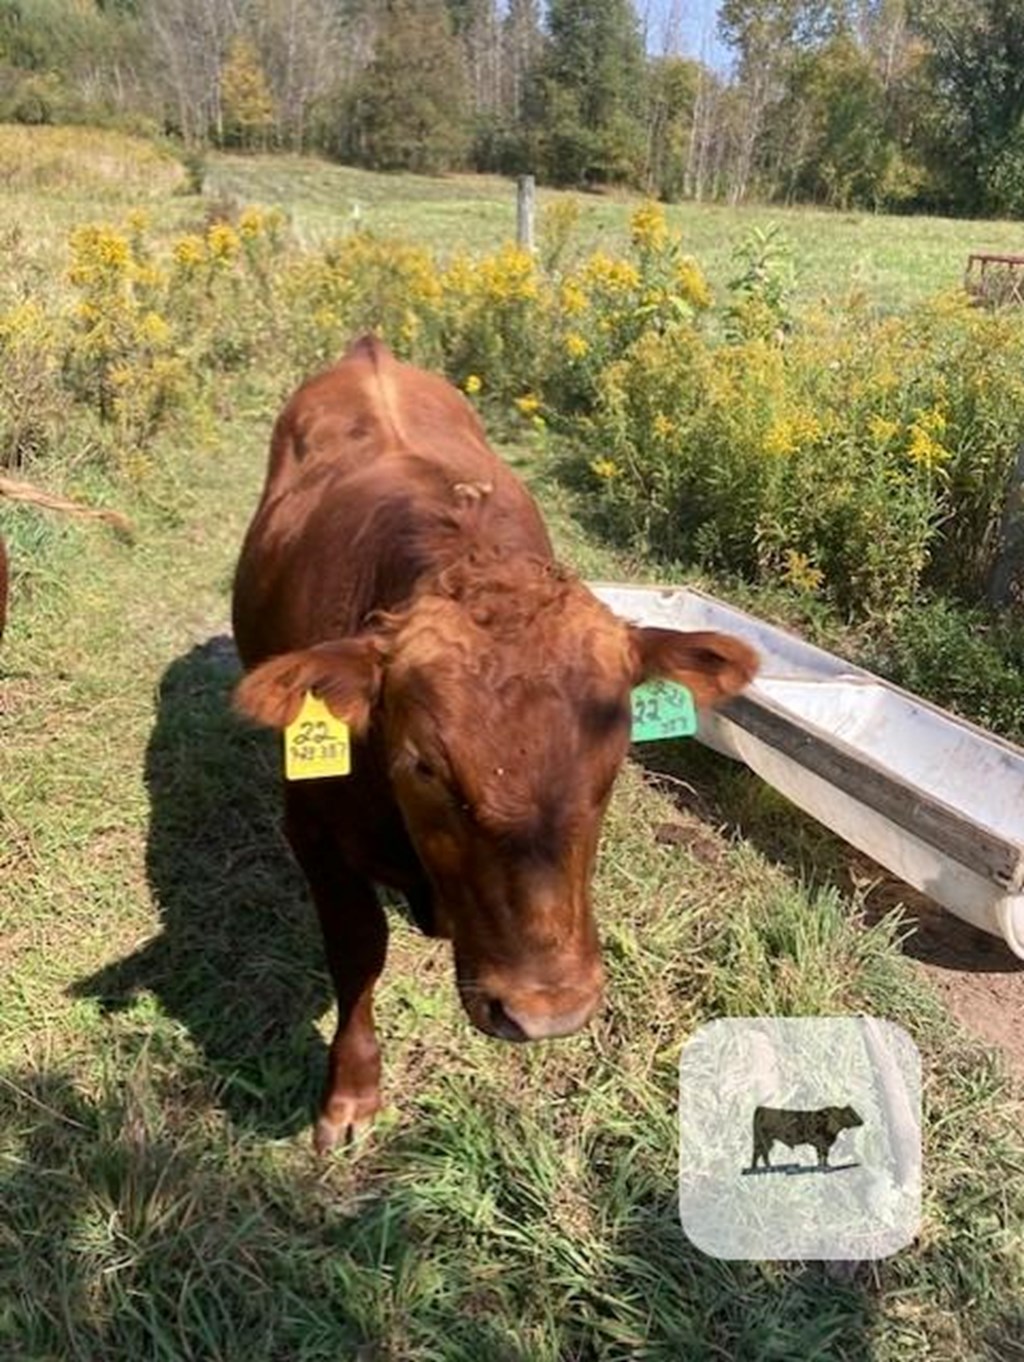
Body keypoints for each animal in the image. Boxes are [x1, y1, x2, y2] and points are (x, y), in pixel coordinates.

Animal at [234, 337, 762, 1149]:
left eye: (615, 755)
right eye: (423, 765)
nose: (549, 1011)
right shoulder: (313, 831)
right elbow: (358, 952)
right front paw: (350, 1095)